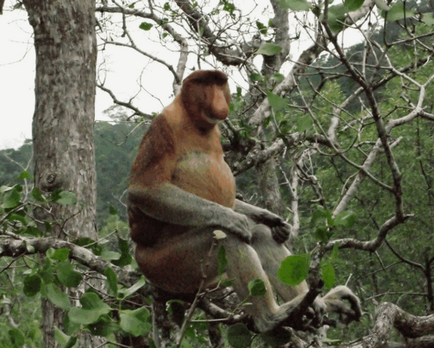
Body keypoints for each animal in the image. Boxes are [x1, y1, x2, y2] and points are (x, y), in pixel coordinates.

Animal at [128, 69, 360, 334]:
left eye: (220, 84)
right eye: (205, 84)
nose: (219, 100)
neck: (194, 122)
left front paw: (271, 219)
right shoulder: (163, 127)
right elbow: (144, 190)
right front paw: (231, 218)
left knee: (261, 235)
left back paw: (318, 304)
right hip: (170, 265)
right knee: (227, 238)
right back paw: (271, 317)